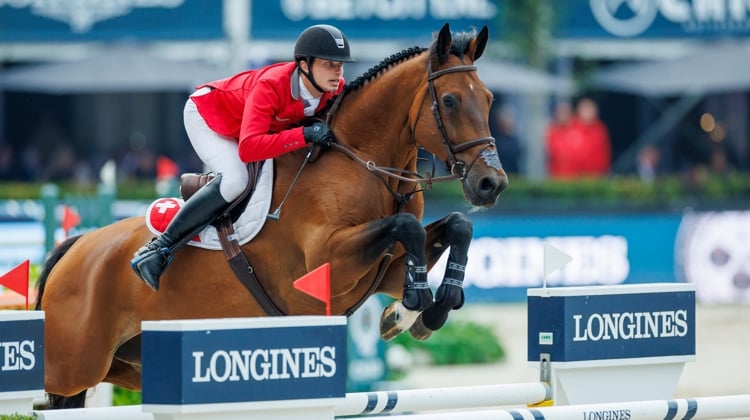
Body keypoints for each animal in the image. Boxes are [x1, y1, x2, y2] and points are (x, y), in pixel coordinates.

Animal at [32, 23, 508, 406]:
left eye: (488, 99)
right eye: (450, 101)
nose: (492, 184)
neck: (363, 163)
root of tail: (75, 249)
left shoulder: (384, 268)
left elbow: (455, 227)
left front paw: (422, 311)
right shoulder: (329, 262)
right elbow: (407, 226)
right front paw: (415, 303)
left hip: (123, 364)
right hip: (72, 367)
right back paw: (151, 259)